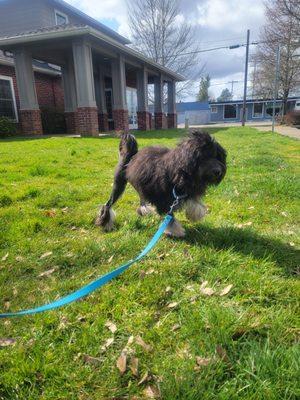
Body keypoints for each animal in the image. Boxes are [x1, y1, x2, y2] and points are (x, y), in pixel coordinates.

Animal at [96, 130, 227, 238]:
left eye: (217, 156)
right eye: (203, 157)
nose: (218, 171)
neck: (179, 170)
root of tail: (131, 156)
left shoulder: (185, 191)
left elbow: (194, 202)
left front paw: (196, 213)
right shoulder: (161, 198)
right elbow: (169, 217)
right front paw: (175, 231)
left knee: (142, 201)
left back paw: (144, 211)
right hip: (119, 184)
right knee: (108, 204)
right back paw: (106, 222)